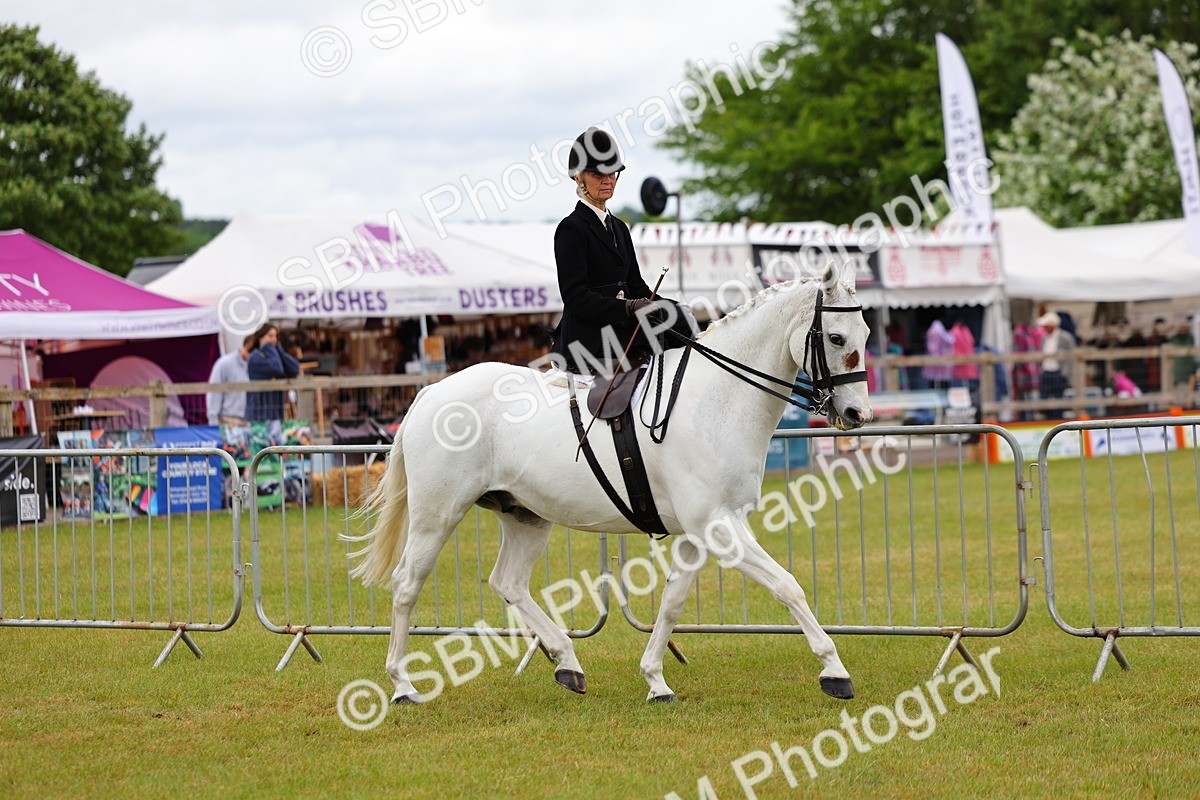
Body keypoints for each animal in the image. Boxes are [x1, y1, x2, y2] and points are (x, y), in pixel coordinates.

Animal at [349, 268, 872, 704]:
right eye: (836, 336)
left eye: (866, 334)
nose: (857, 415)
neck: (715, 401)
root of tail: (432, 391)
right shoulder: (719, 527)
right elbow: (789, 587)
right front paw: (835, 672)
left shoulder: (701, 532)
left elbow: (672, 603)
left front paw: (656, 680)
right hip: (437, 515)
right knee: (406, 585)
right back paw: (402, 686)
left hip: (524, 516)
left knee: (508, 583)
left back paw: (567, 662)